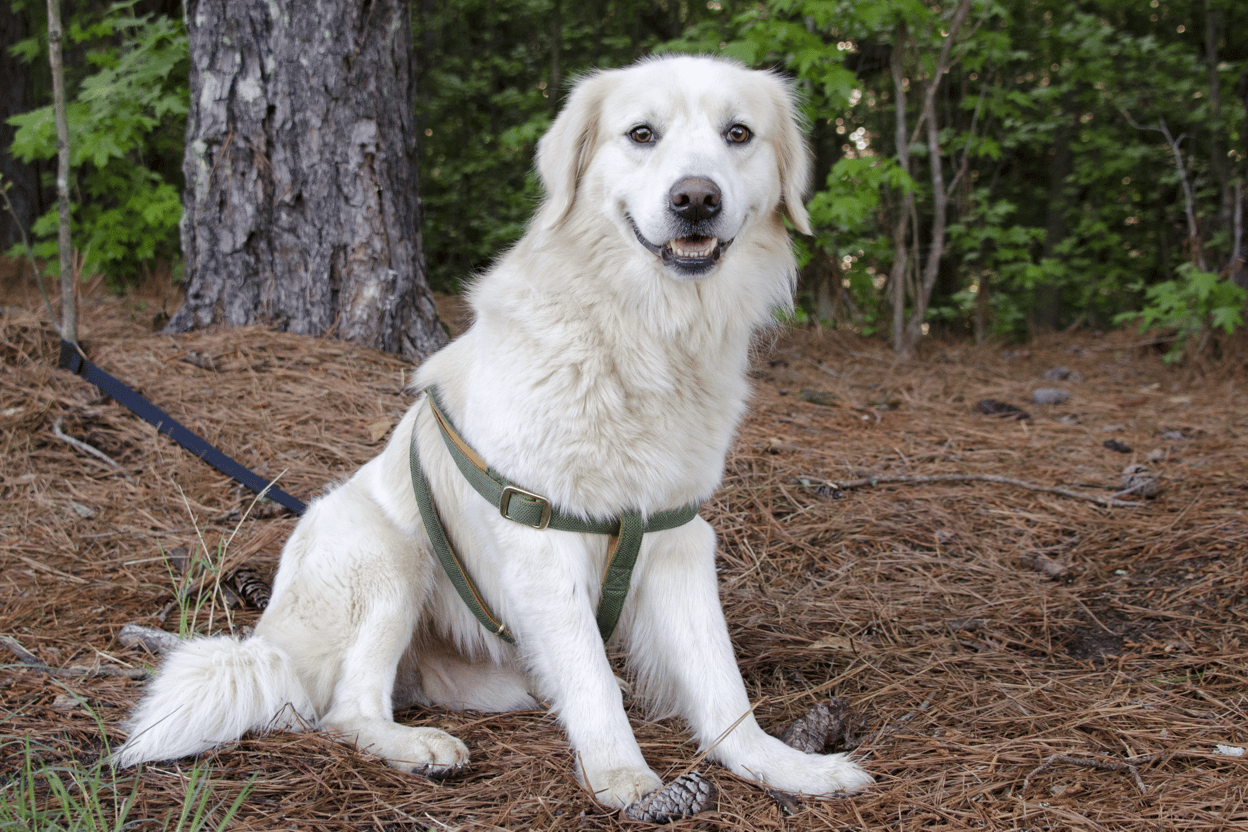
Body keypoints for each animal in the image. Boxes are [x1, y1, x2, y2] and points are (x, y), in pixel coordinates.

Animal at [119, 55, 878, 808]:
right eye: (642, 133)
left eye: (738, 133)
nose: (696, 199)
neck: (640, 334)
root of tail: (271, 644)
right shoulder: (540, 529)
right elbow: (593, 677)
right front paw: (625, 779)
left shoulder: (676, 533)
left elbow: (722, 683)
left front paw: (784, 767)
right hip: (389, 554)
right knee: (347, 710)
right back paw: (420, 747)